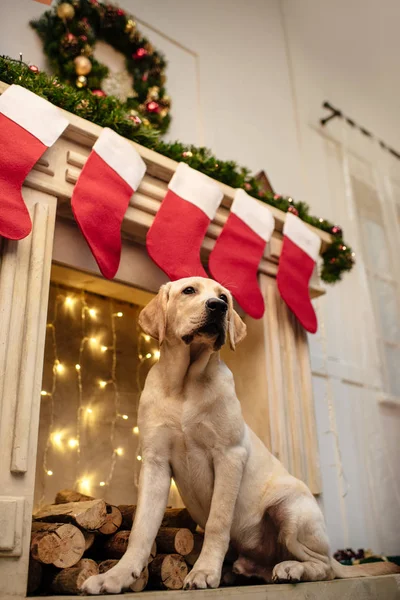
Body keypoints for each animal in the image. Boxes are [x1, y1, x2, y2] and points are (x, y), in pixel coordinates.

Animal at [83, 278, 396, 596]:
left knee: (323, 567)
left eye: (223, 297)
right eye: (189, 291)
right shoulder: (155, 463)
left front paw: (204, 571)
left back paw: (291, 568)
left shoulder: (229, 457)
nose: (217, 307)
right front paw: (117, 575)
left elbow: (218, 522)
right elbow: (141, 529)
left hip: (289, 509)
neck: (185, 384)